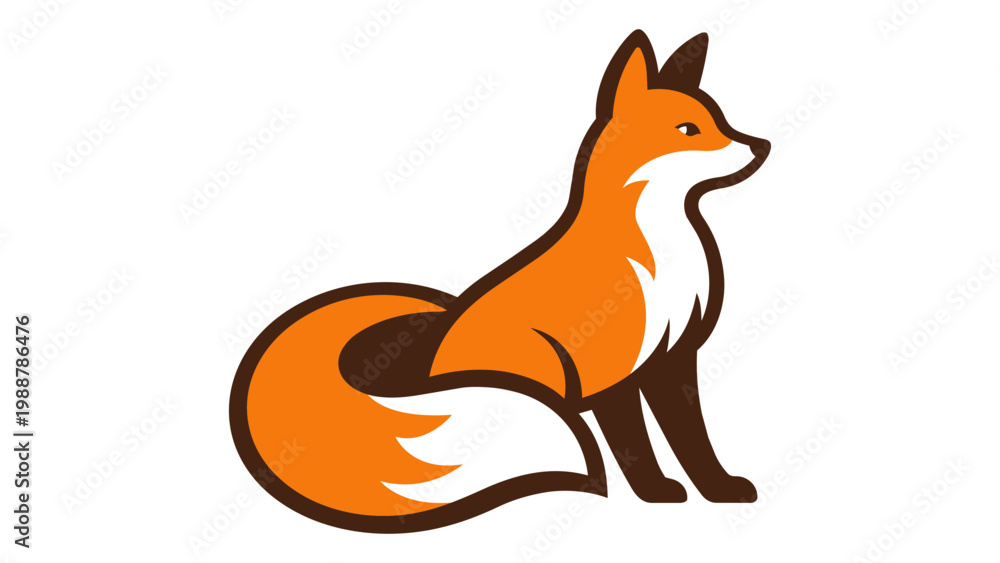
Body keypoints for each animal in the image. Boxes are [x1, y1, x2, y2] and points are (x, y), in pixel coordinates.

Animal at [230, 30, 771, 533]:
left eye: (721, 120)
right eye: (689, 129)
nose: (762, 146)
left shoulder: (674, 363)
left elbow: (694, 441)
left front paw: (720, 490)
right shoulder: (614, 372)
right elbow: (633, 442)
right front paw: (655, 491)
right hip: (540, 361)